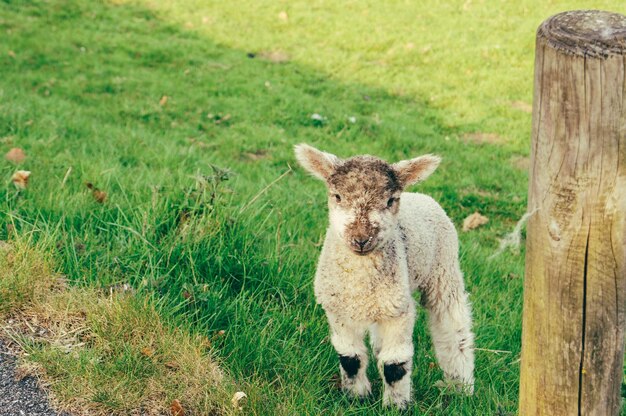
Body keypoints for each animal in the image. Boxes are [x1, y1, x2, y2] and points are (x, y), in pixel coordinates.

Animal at [292, 144, 472, 410]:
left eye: (390, 200)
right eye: (337, 197)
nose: (361, 238)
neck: (359, 283)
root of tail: (421, 196)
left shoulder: (400, 312)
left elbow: (394, 365)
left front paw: (396, 406)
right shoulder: (338, 310)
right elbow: (350, 358)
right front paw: (356, 397)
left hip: (443, 268)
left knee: (453, 327)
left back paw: (461, 384)